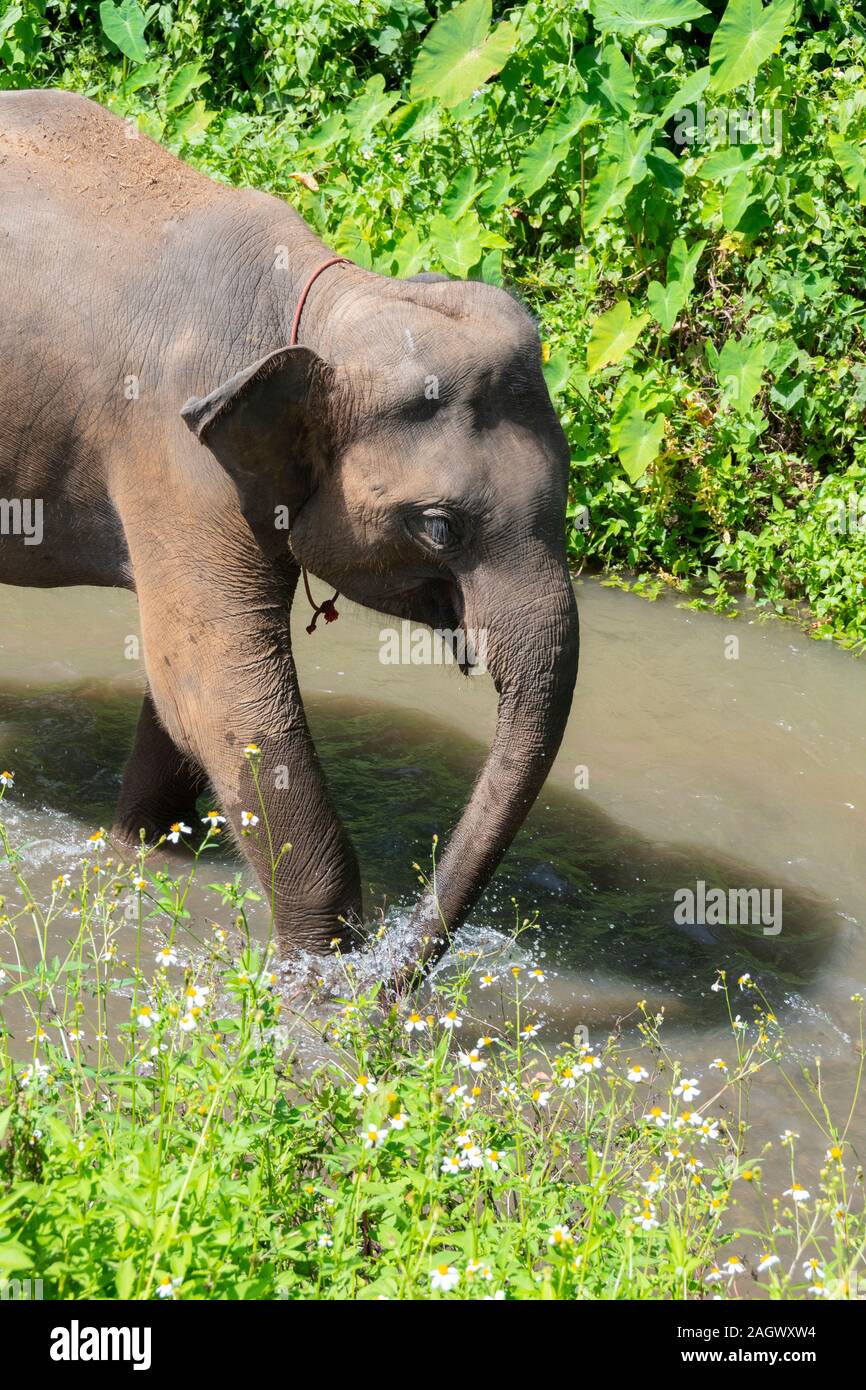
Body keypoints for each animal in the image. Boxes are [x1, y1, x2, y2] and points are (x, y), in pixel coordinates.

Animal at [1, 89, 583, 978]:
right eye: (439, 526)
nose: (394, 983)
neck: (325, 303)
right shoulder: (172, 455)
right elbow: (217, 685)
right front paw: (324, 987)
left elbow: (181, 696)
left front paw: (138, 848)